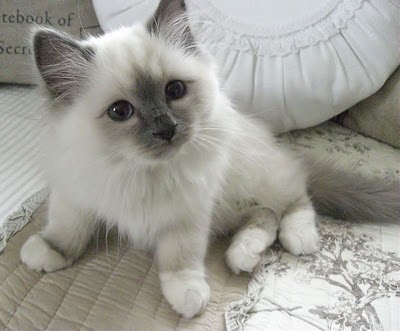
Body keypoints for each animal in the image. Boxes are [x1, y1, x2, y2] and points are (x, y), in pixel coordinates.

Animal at [20, 0, 398, 320]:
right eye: (120, 112)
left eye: (174, 91)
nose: (166, 129)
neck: (137, 172)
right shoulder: (76, 192)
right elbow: (67, 228)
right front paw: (48, 252)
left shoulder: (187, 212)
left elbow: (179, 260)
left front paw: (187, 295)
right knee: (264, 214)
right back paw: (245, 254)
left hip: (257, 175)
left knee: (294, 199)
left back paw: (295, 239)